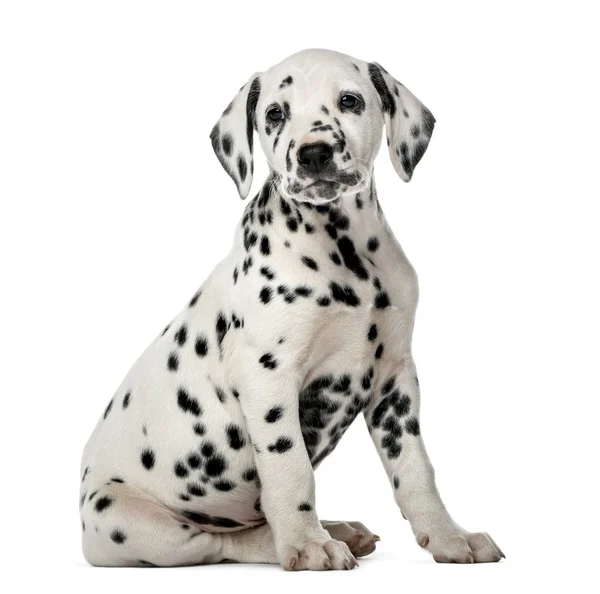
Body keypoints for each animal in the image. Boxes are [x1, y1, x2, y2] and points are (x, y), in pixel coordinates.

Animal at [78, 48, 502, 568]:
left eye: (350, 100)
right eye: (275, 114)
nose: (313, 152)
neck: (346, 253)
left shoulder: (395, 380)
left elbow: (416, 469)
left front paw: (449, 536)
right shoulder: (268, 376)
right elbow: (290, 468)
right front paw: (307, 544)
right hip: (132, 522)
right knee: (223, 543)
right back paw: (302, 540)